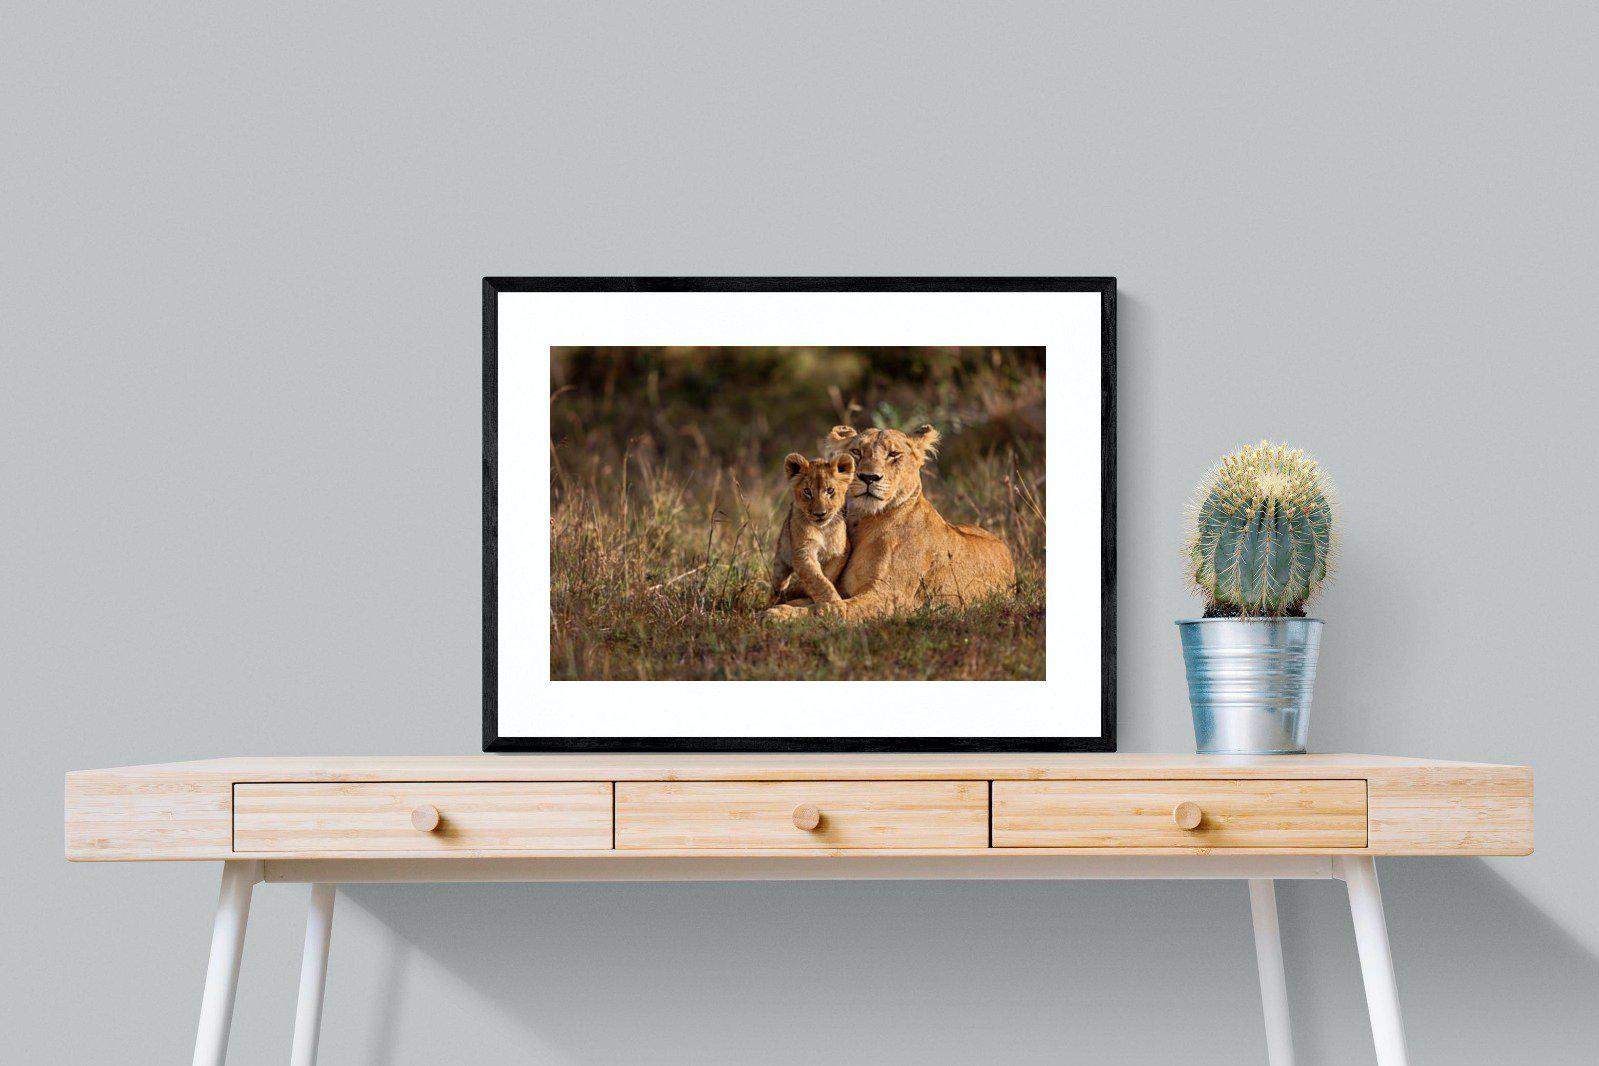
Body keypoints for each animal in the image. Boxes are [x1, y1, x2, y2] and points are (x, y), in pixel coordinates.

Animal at [769, 452, 855, 607]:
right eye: (807, 491)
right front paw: (834, 604)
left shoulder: (841, 551)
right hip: (781, 560)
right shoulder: (802, 552)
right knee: (777, 585)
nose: (819, 514)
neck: (823, 530)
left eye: (830, 490)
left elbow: (827, 575)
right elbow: (817, 579)